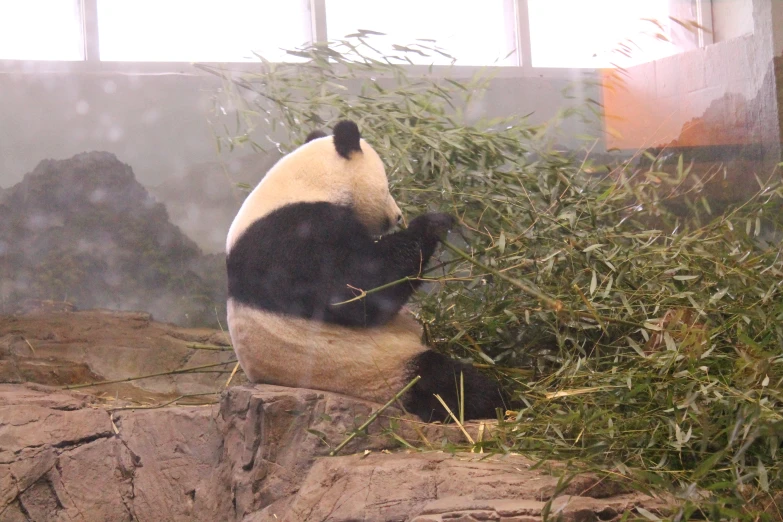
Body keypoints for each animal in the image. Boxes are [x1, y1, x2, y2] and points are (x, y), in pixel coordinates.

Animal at [225, 120, 508, 420]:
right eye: (387, 188)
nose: (397, 215)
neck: (305, 185)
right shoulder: (292, 239)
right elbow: (357, 289)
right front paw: (433, 223)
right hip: (377, 370)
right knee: (445, 382)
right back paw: (497, 398)